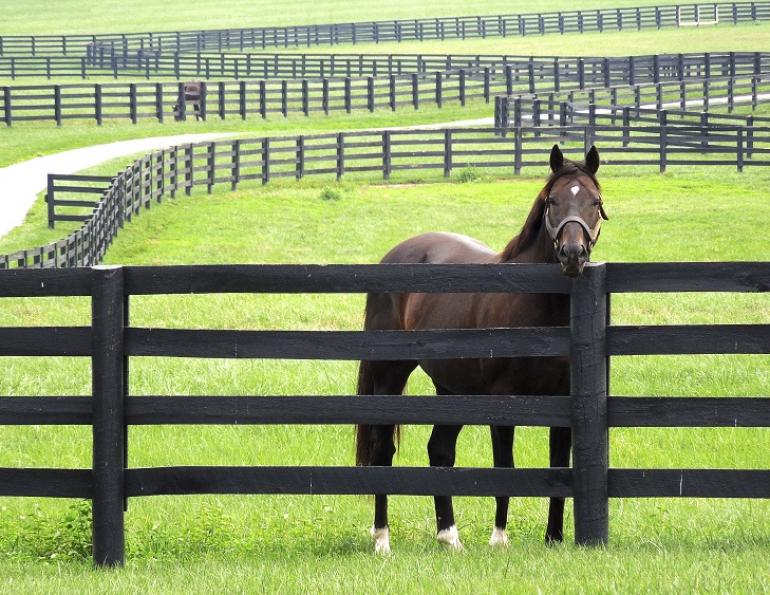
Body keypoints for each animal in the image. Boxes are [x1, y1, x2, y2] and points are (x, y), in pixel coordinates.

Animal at [354, 144, 608, 554]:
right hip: (390, 374)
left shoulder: (561, 401)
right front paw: (499, 538)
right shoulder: (503, 401)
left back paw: (449, 537)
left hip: (452, 388)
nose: (573, 254)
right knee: (382, 451)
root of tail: (396, 255)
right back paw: (382, 539)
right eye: (552, 201)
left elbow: (558, 468)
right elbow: (504, 468)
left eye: (594, 202)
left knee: (440, 450)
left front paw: (553, 538)